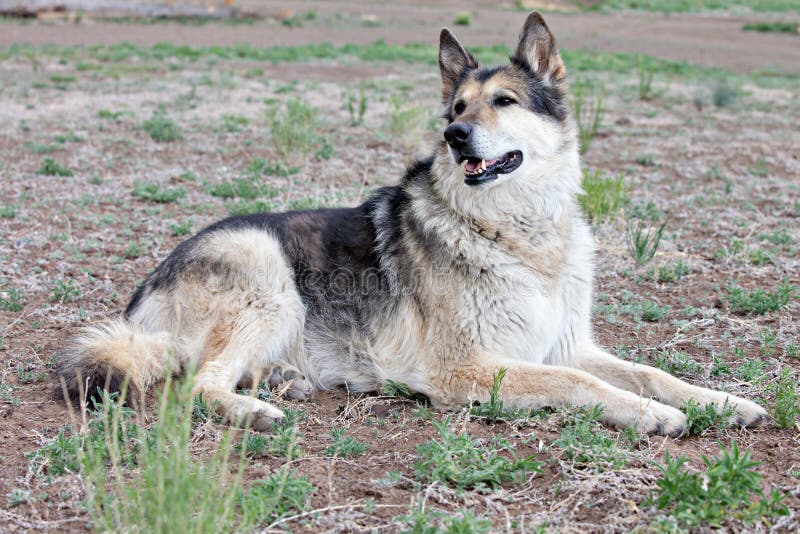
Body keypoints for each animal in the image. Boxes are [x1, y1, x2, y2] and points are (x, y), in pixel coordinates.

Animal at [57, 12, 768, 438]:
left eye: (503, 101)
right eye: (456, 108)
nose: (455, 136)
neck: (520, 235)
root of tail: (143, 296)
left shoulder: (565, 345)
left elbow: (651, 372)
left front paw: (721, 401)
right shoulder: (470, 370)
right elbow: (579, 384)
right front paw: (654, 416)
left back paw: (281, 382)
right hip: (269, 279)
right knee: (197, 386)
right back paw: (256, 408)